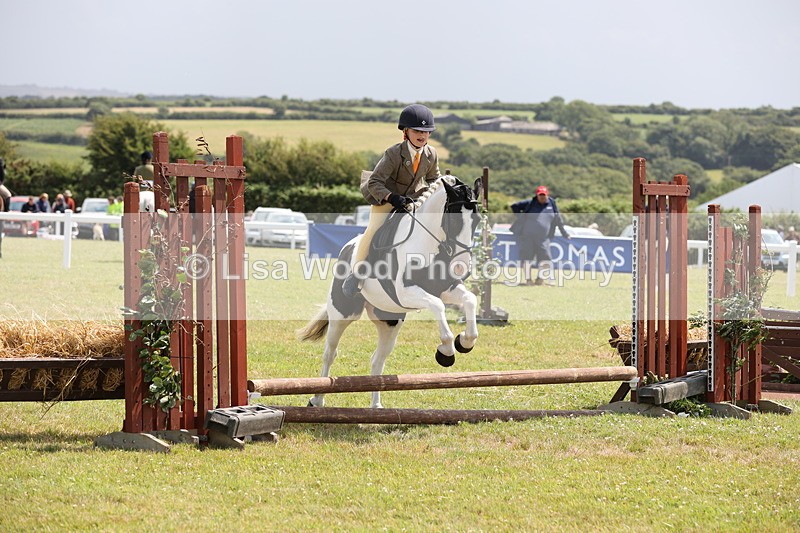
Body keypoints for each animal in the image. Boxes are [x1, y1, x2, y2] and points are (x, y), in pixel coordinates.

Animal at [298, 175, 483, 408]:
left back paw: (376, 406)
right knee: (330, 353)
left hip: (389, 321)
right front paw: (447, 352)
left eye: (476, 220)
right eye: (454, 220)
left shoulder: (446, 288)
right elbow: (437, 305)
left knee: (378, 359)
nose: (461, 267)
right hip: (342, 313)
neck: (429, 244)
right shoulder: (405, 292)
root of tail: (347, 248)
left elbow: (469, 299)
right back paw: (316, 399)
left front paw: (464, 342)